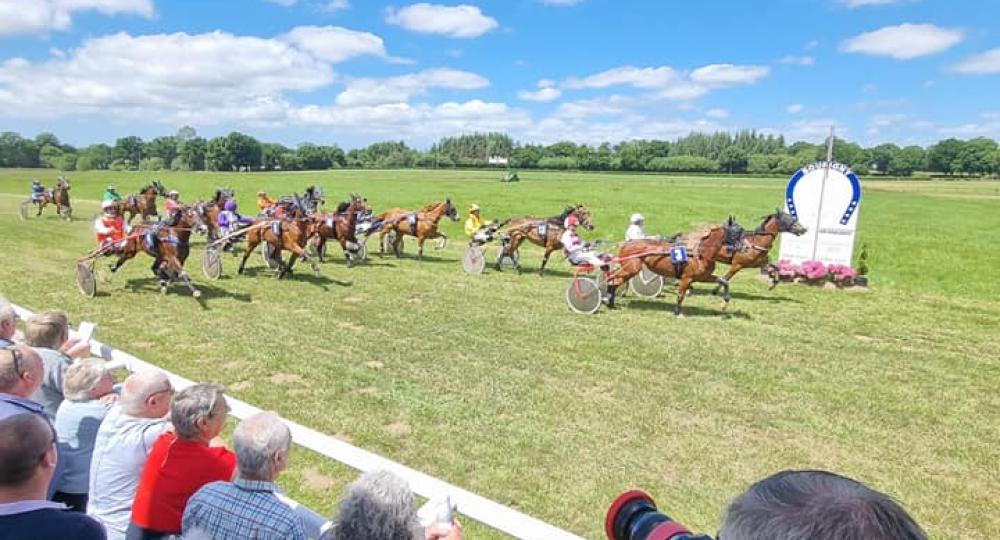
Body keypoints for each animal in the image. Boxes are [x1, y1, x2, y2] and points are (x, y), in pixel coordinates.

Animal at [608, 223, 744, 316]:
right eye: (736, 233)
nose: (744, 247)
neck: (699, 254)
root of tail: (626, 243)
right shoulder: (686, 278)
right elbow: (680, 295)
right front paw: (677, 312)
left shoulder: (704, 277)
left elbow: (724, 281)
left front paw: (725, 302)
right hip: (631, 268)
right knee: (612, 279)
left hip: (630, 270)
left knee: (615, 281)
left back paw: (611, 303)